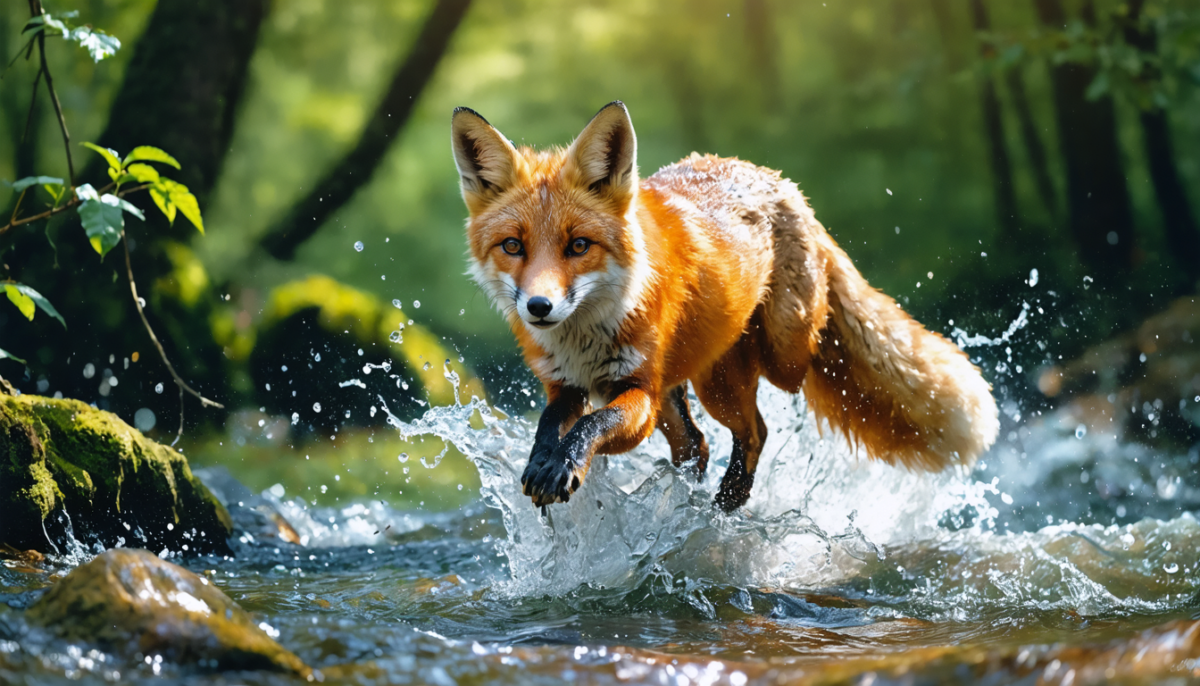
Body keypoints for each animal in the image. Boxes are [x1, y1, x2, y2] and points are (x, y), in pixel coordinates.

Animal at [451, 101, 999, 512]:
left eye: (579, 246)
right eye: (513, 246)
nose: (539, 307)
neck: (587, 336)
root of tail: (781, 183)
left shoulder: (637, 392)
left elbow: (593, 425)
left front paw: (563, 465)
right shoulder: (568, 385)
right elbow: (550, 423)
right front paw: (543, 461)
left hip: (767, 361)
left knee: (765, 415)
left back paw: (730, 498)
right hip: (696, 386)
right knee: (700, 443)